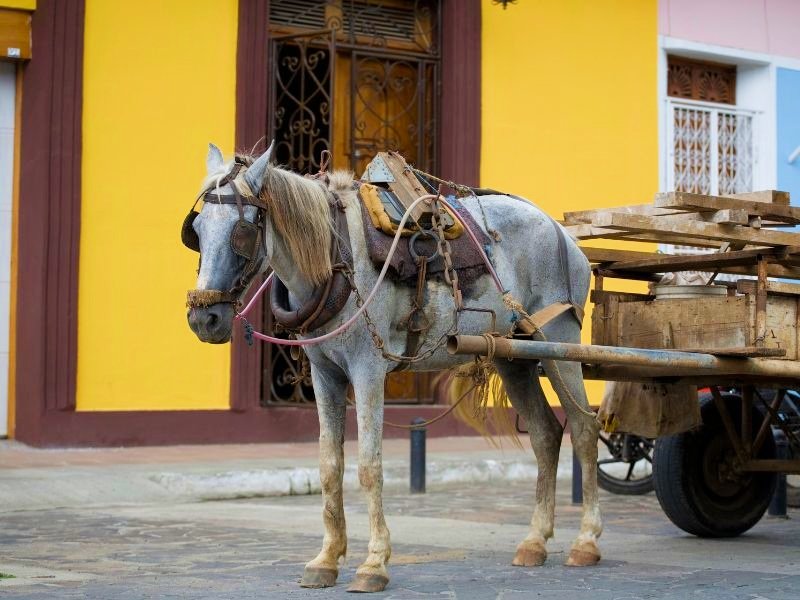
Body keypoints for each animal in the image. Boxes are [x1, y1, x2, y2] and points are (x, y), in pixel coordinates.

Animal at [185, 142, 602, 593]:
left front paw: (374, 563)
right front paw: (326, 560)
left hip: (558, 340)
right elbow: (330, 466)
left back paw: (586, 541)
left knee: (583, 428)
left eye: (243, 231)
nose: (204, 319)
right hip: (514, 357)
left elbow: (370, 466)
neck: (336, 258)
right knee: (545, 434)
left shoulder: (367, 370)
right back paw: (535, 541)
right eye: (197, 230)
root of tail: (563, 234)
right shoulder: (324, 375)